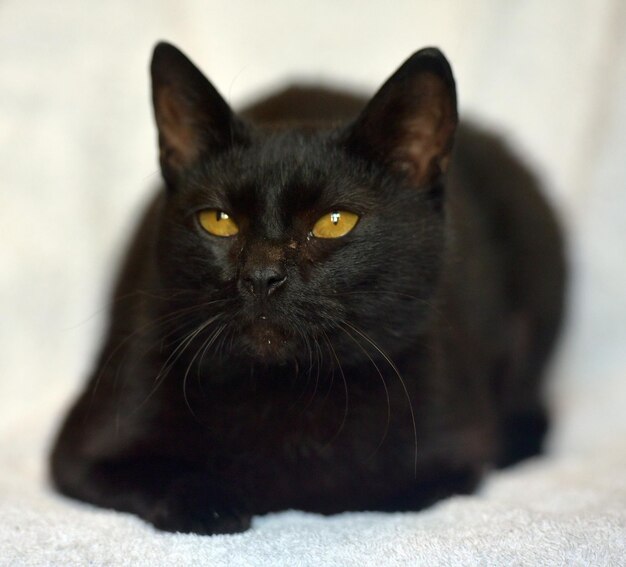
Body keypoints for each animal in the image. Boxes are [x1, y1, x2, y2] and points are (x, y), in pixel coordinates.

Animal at [50, 42, 564, 536]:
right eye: (218, 220)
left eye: (335, 222)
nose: (262, 275)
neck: (286, 390)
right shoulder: (84, 448)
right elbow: (162, 478)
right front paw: (213, 502)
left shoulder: (449, 459)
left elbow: (356, 487)